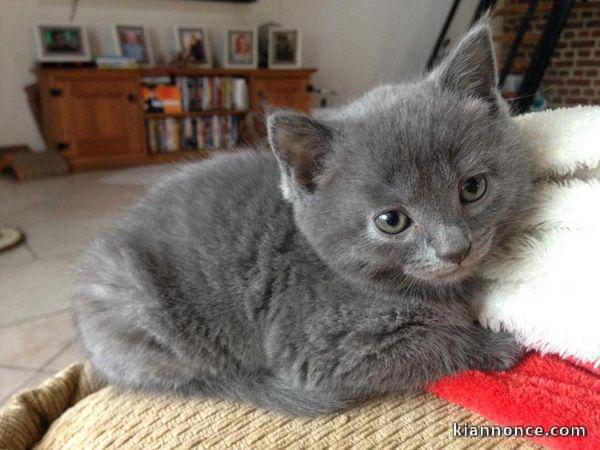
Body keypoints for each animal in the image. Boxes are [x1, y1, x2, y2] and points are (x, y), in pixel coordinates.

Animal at [74, 24, 528, 416]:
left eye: (473, 187)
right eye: (391, 221)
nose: (456, 248)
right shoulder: (326, 349)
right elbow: (431, 345)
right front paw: (495, 347)